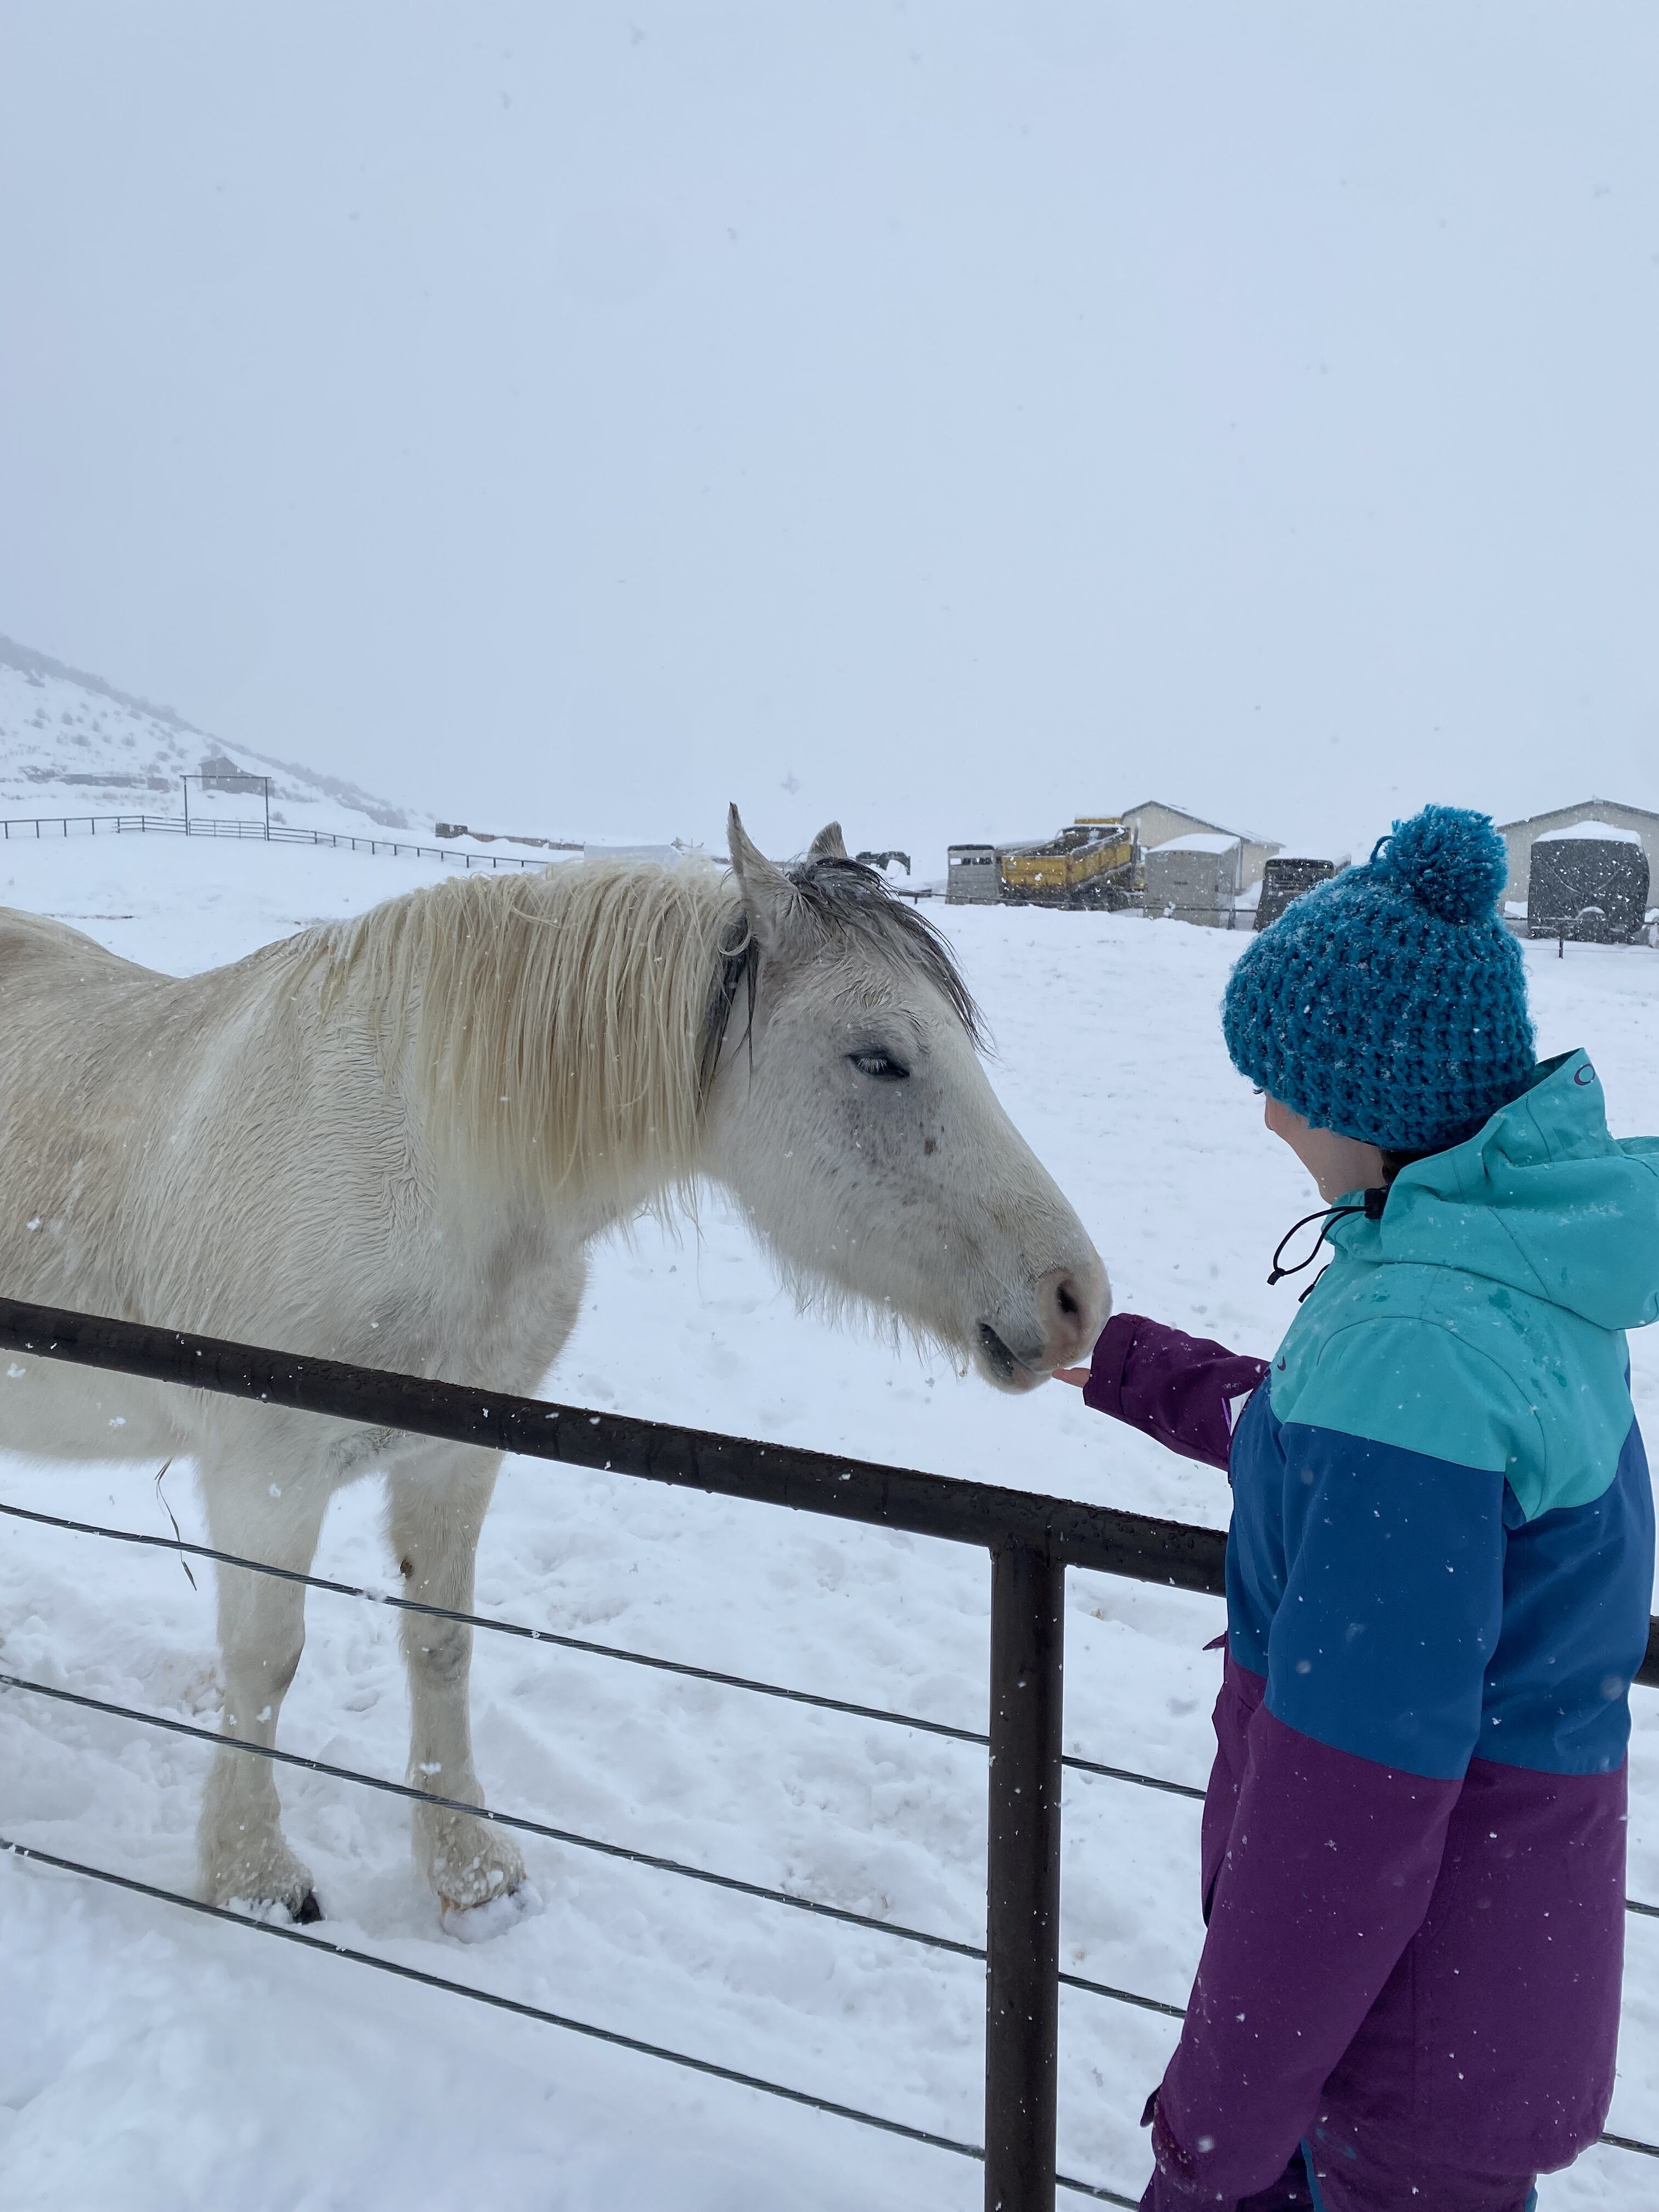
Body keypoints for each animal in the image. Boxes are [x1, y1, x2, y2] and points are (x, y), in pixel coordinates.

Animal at [0, 809, 1107, 1924]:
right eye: (878, 1059)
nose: (1077, 1302)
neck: (417, 1172)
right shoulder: (264, 1478)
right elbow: (267, 1662)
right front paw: (254, 1877)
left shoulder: (453, 1458)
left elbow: (441, 1643)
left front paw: (466, 1867)